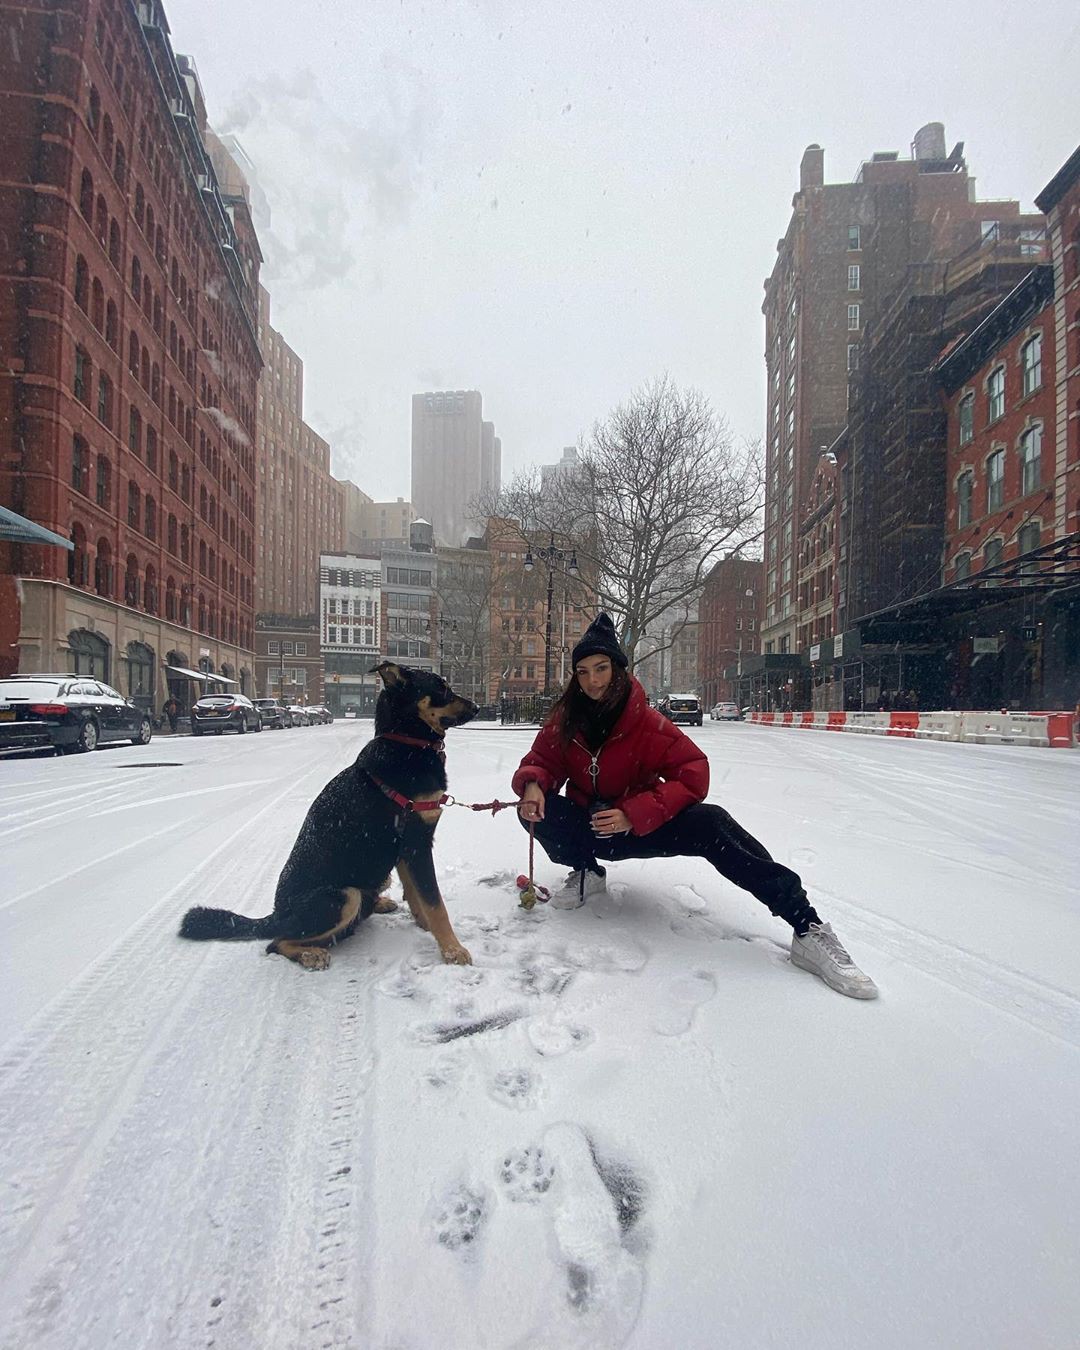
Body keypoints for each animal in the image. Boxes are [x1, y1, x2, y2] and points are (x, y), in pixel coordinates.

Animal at [178, 664, 477, 972]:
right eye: (441, 688)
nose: (478, 707)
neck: (406, 743)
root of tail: (276, 915)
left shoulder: (406, 849)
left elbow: (416, 895)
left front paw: (426, 927)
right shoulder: (416, 843)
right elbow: (435, 903)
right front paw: (452, 950)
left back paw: (379, 904)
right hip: (344, 895)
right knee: (277, 942)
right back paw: (311, 954)